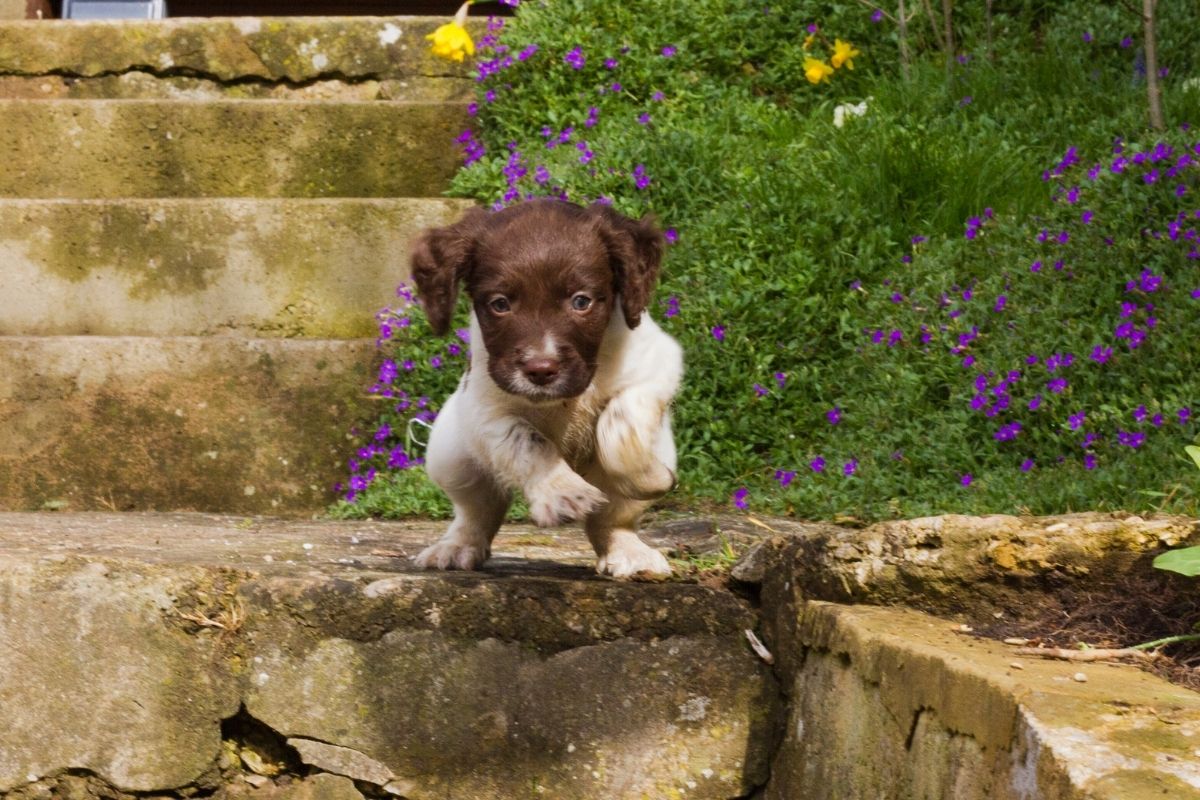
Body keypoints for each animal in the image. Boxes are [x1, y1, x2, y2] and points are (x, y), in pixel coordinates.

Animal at [408, 197, 686, 578]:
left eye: (581, 301)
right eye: (500, 304)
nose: (541, 370)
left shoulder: (657, 363)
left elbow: (619, 432)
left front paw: (649, 478)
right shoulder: (484, 406)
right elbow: (528, 442)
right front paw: (563, 491)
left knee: (611, 519)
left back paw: (631, 552)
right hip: (450, 454)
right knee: (477, 509)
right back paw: (457, 547)